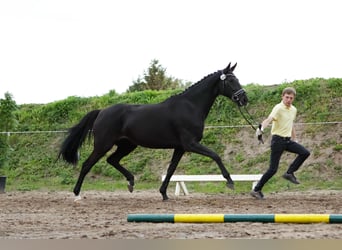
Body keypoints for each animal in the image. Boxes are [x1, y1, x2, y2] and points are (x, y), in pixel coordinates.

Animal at [58, 63, 248, 201]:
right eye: (231, 81)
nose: (244, 99)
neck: (190, 106)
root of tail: (102, 111)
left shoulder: (180, 147)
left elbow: (171, 169)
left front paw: (164, 194)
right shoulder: (190, 144)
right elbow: (216, 155)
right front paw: (230, 182)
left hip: (127, 145)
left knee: (112, 160)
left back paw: (131, 182)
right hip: (103, 144)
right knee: (87, 165)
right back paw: (77, 194)